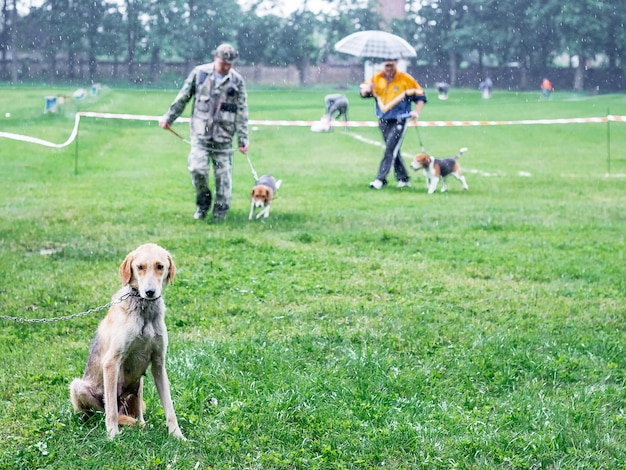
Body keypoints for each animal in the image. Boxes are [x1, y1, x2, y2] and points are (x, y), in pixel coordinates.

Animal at [70, 244, 184, 438]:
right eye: (140, 267)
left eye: (160, 266)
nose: (150, 292)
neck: (144, 311)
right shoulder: (111, 362)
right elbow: (111, 411)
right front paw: (112, 435)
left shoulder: (158, 363)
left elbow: (169, 407)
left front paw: (177, 435)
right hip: (77, 387)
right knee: (100, 413)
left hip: (139, 385)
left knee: (137, 413)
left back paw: (142, 424)